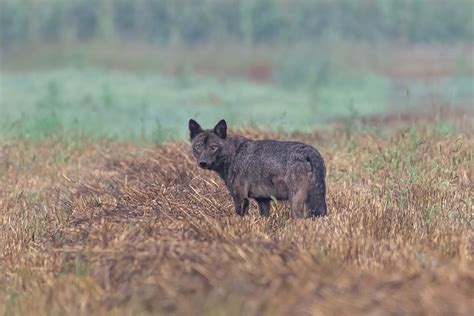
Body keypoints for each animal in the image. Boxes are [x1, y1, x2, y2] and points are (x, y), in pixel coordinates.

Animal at [187, 118, 328, 217]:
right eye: (198, 146)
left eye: (213, 147)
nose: (203, 163)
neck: (234, 155)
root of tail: (310, 151)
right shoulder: (263, 200)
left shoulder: (240, 197)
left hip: (296, 203)